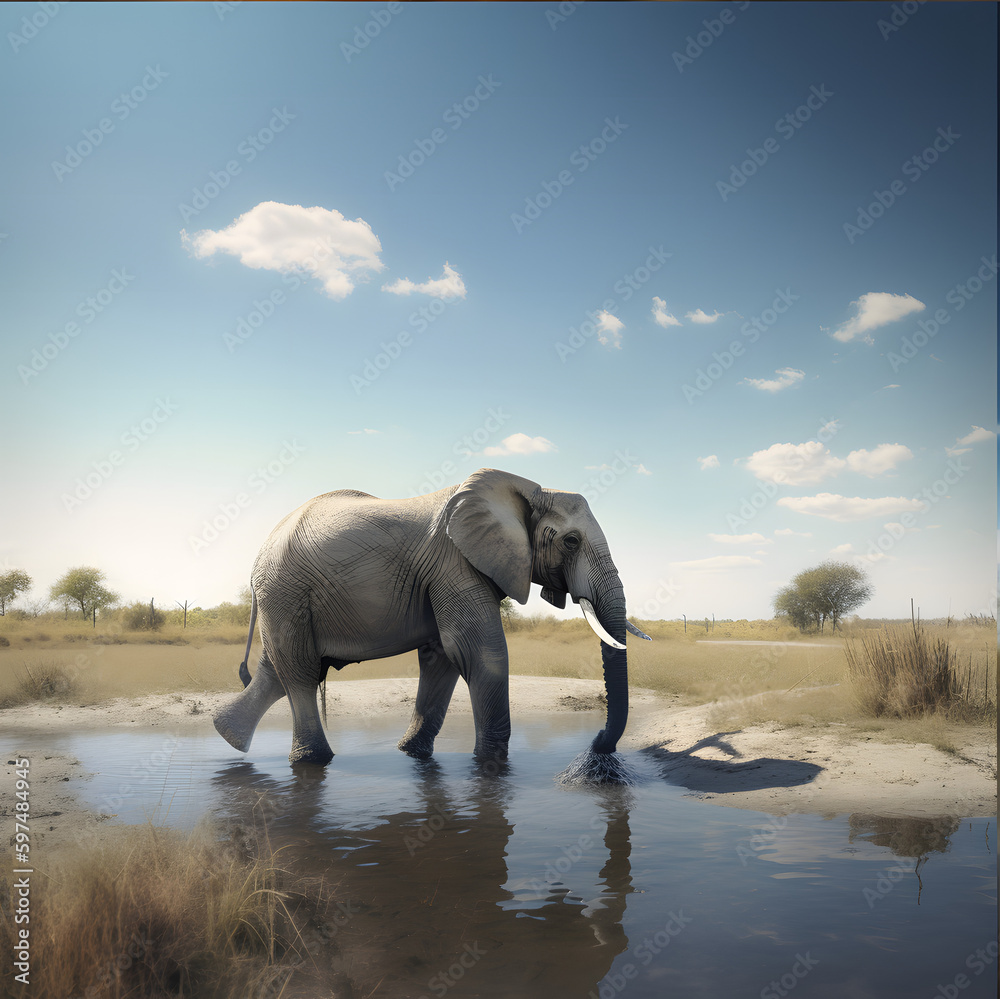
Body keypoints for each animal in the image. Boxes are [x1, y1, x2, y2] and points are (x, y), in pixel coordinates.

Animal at [212, 467, 650, 766]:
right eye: (571, 542)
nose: (595, 745)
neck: (528, 488)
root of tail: (262, 550)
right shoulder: (454, 562)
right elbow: (480, 654)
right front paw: (490, 766)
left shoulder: (444, 572)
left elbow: (443, 657)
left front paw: (412, 754)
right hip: (285, 591)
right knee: (299, 671)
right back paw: (312, 761)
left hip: (285, 597)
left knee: (277, 670)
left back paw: (228, 736)